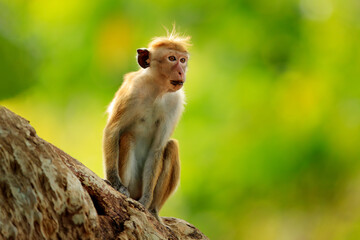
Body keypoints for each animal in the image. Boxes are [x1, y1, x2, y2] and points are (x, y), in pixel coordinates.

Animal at [102, 31, 191, 222]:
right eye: (172, 58)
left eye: (182, 60)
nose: (181, 71)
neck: (157, 89)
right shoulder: (131, 92)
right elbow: (113, 131)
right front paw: (114, 183)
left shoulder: (174, 103)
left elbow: (157, 148)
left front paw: (146, 200)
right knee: (127, 137)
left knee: (170, 147)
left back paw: (153, 210)